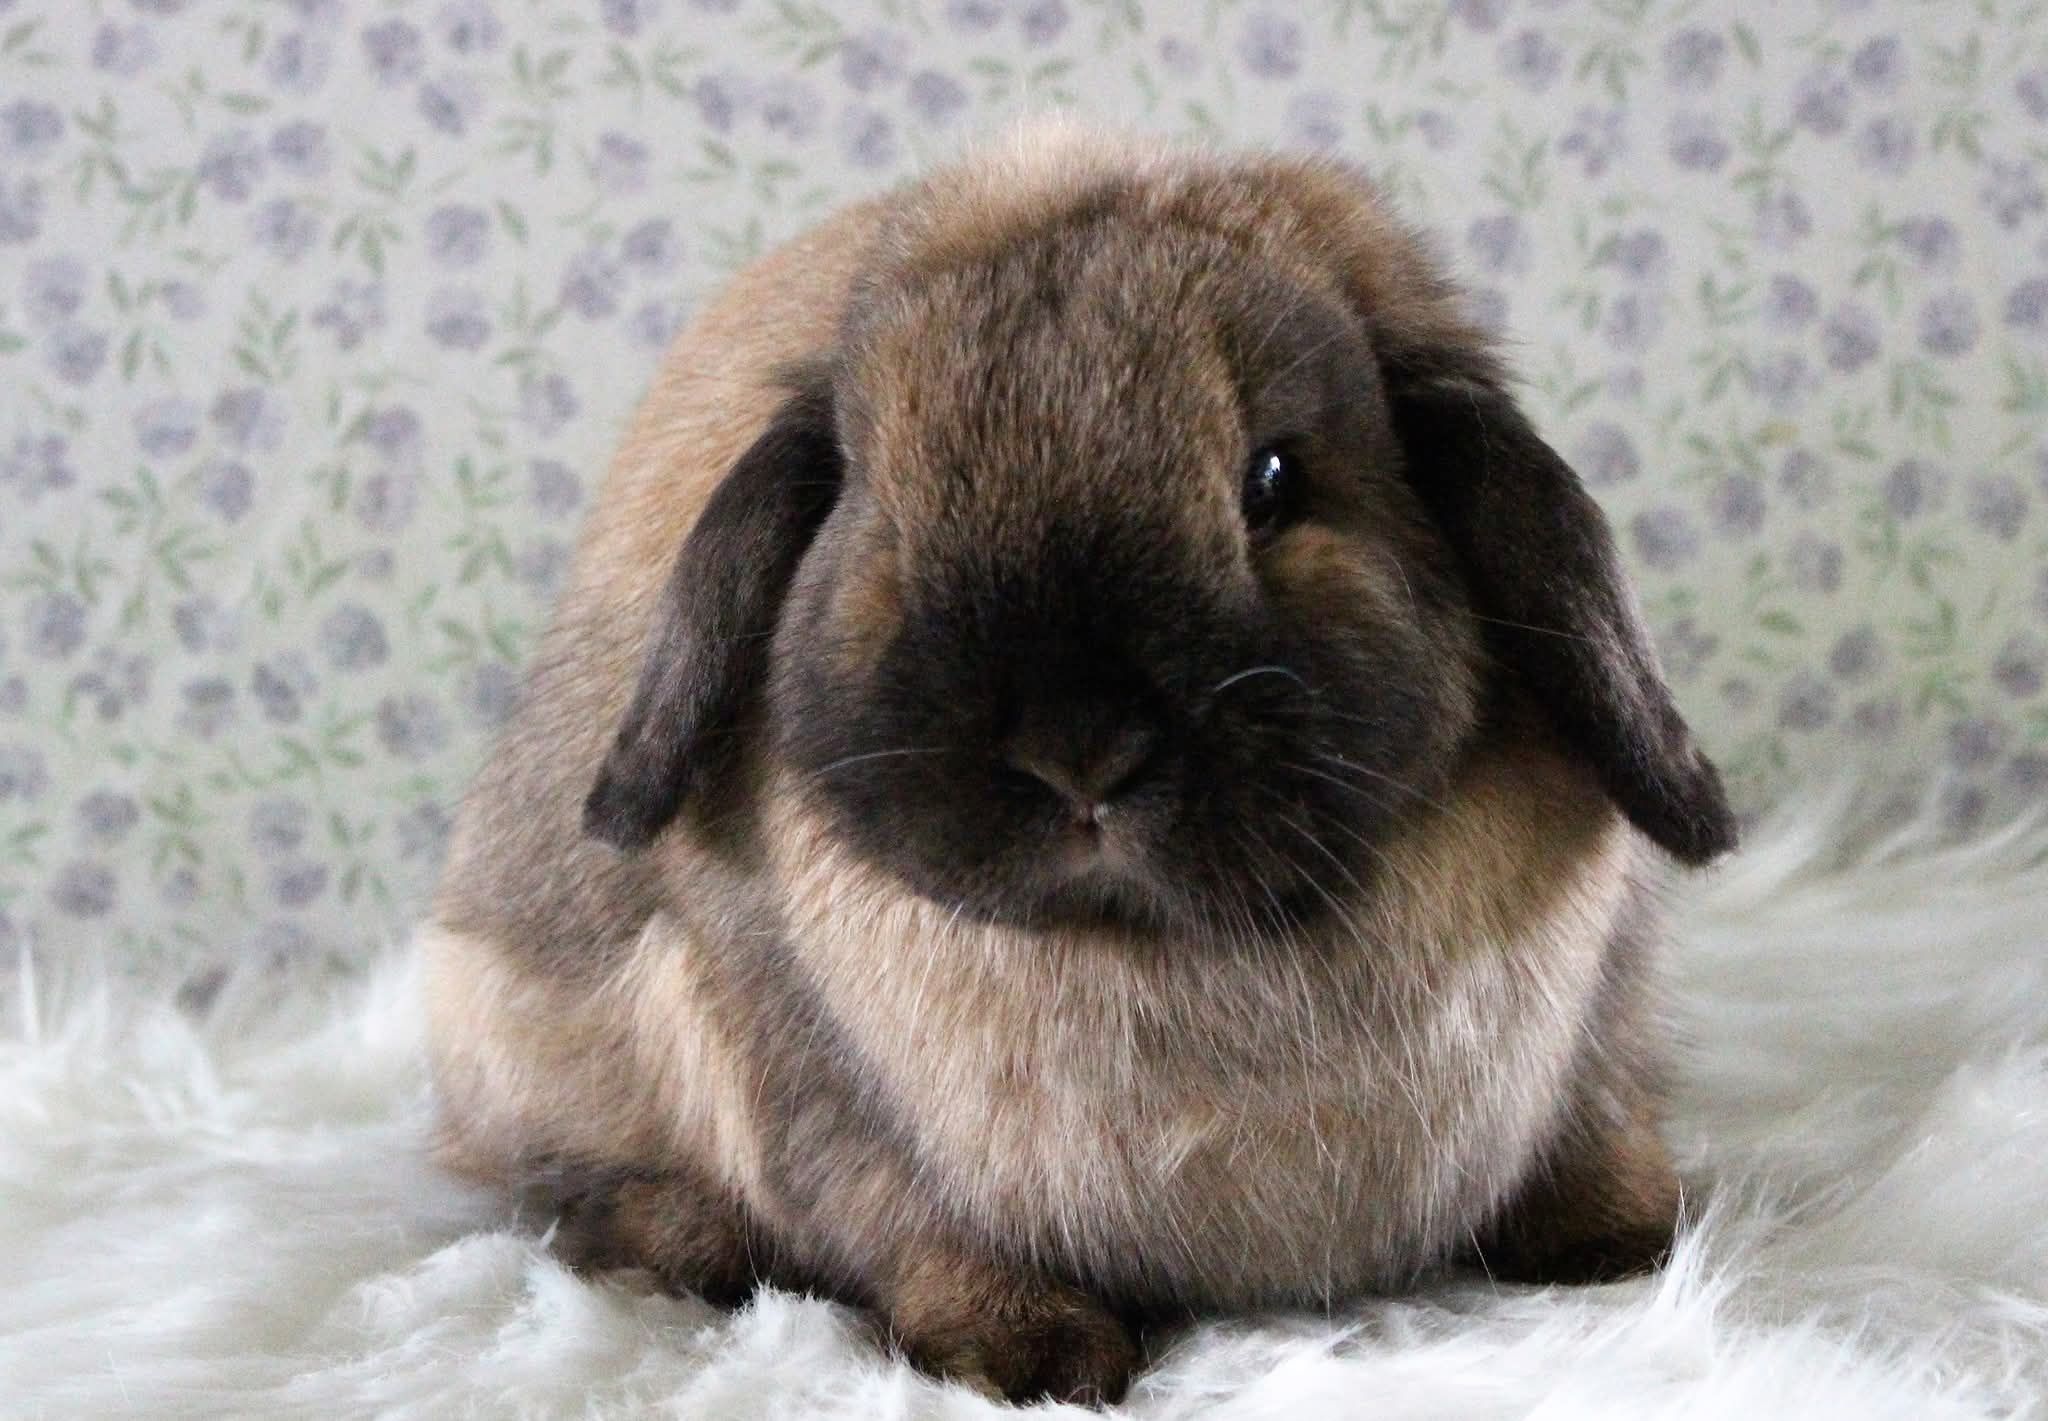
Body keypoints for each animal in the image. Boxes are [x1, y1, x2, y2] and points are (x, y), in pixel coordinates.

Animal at [420, 119, 1737, 1407]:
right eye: (880, 509)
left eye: (1272, 478)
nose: (1078, 753)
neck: (1158, 949)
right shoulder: (823, 1101)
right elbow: (914, 1228)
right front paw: (1026, 1353)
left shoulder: (1595, 1041)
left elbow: (1594, 1135)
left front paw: (1623, 1239)